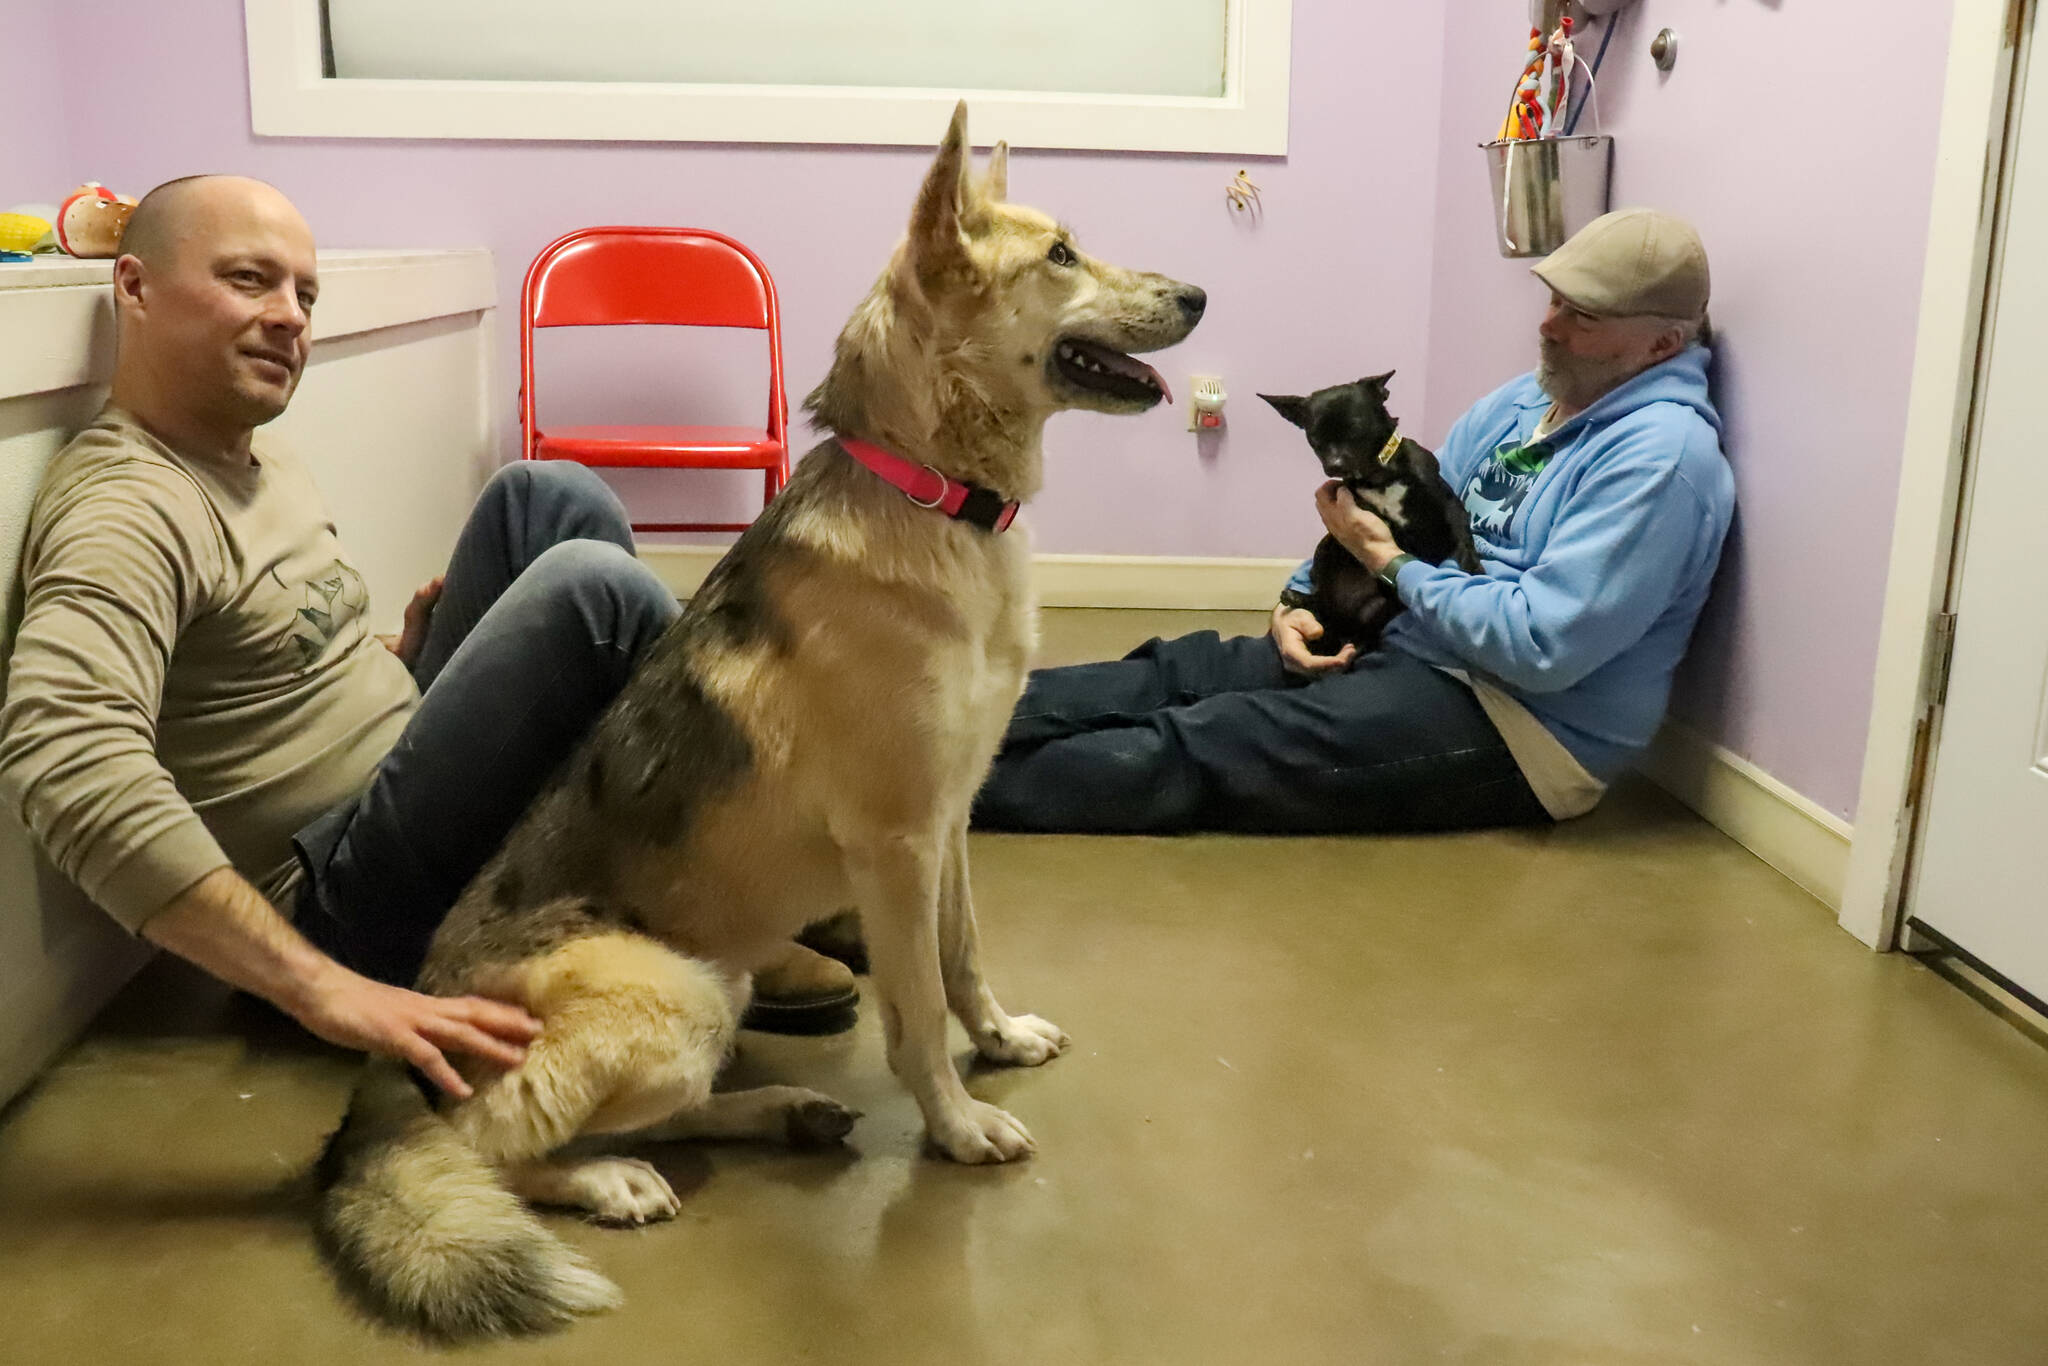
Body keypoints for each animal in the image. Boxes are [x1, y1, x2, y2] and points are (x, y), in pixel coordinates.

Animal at [315, 101, 1196, 1343]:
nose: (1199, 297)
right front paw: (954, 1122)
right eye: (1061, 256)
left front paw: (999, 1038)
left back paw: (783, 1110)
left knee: (653, 1111)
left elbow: (964, 957)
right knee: (488, 1144)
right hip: (673, 1001)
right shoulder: (895, 843)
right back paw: (606, 1180)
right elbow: (915, 1009)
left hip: (718, 984)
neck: (928, 491)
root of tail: (400, 1041)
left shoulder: (949, 820)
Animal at [1253, 370, 1482, 655]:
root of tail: (1343, 626)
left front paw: (1474, 568)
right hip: (1326, 548)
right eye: (1314, 438)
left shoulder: (1447, 503)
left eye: (1356, 428)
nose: (1334, 465)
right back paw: (1298, 597)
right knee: (1324, 604)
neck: (1379, 476)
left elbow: (1462, 533)